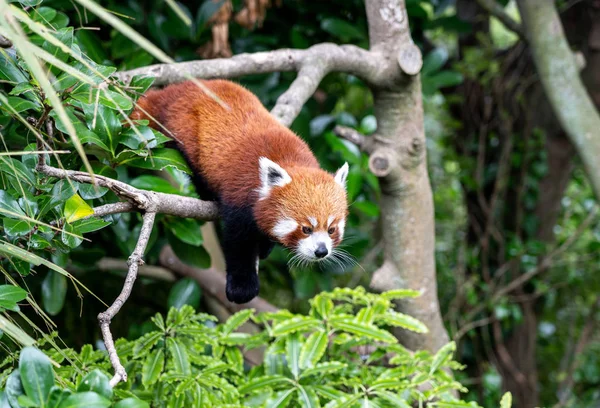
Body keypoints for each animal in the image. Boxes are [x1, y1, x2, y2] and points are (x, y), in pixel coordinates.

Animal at [131, 79, 346, 302]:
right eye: (306, 229)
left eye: (331, 229)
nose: (321, 251)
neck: (291, 161)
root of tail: (175, 90)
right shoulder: (240, 194)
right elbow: (238, 242)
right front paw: (242, 286)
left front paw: (265, 245)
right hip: (182, 129)